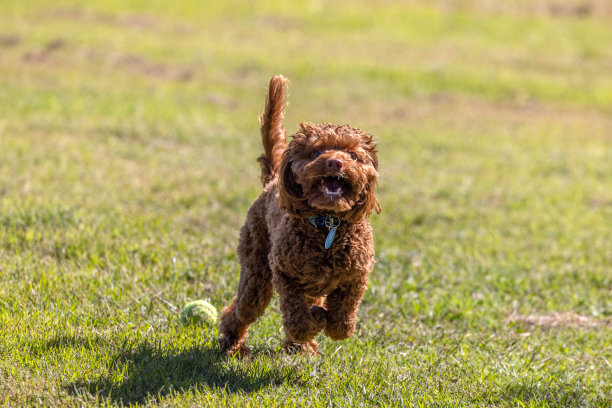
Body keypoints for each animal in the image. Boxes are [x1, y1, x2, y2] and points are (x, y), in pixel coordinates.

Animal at [220, 75, 380, 356]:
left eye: (352, 155)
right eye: (316, 153)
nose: (335, 162)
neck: (327, 223)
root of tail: (273, 180)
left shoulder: (355, 278)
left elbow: (342, 324)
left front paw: (328, 321)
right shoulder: (286, 277)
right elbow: (298, 321)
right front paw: (315, 319)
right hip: (257, 269)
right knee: (242, 308)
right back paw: (233, 341)